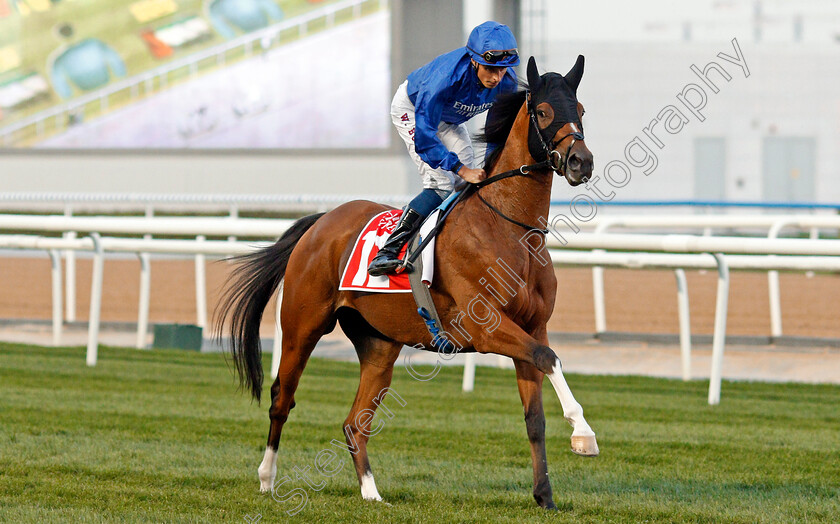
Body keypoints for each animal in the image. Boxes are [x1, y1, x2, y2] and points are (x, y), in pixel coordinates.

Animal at [217, 56, 596, 508]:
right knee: (282, 399)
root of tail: (321, 223)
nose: (581, 162)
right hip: (302, 326)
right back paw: (267, 478)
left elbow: (535, 412)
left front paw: (544, 496)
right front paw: (584, 434)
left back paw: (371, 492)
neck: (509, 228)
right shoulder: (486, 327)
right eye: (542, 111)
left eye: (582, 109)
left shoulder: (532, 326)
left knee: (354, 423)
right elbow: (549, 358)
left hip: (379, 344)